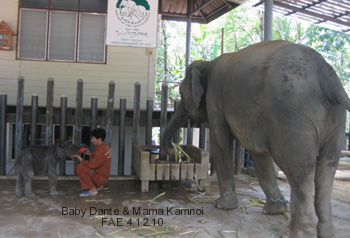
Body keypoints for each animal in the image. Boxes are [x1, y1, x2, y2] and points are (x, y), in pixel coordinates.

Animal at [161, 40, 350, 237]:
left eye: (181, 93)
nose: (173, 151)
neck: (208, 63)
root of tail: (329, 77)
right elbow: (258, 153)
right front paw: (274, 210)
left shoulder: (214, 98)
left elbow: (220, 142)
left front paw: (222, 206)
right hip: (335, 119)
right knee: (326, 169)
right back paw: (326, 232)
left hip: (292, 117)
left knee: (300, 170)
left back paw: (294, 233)